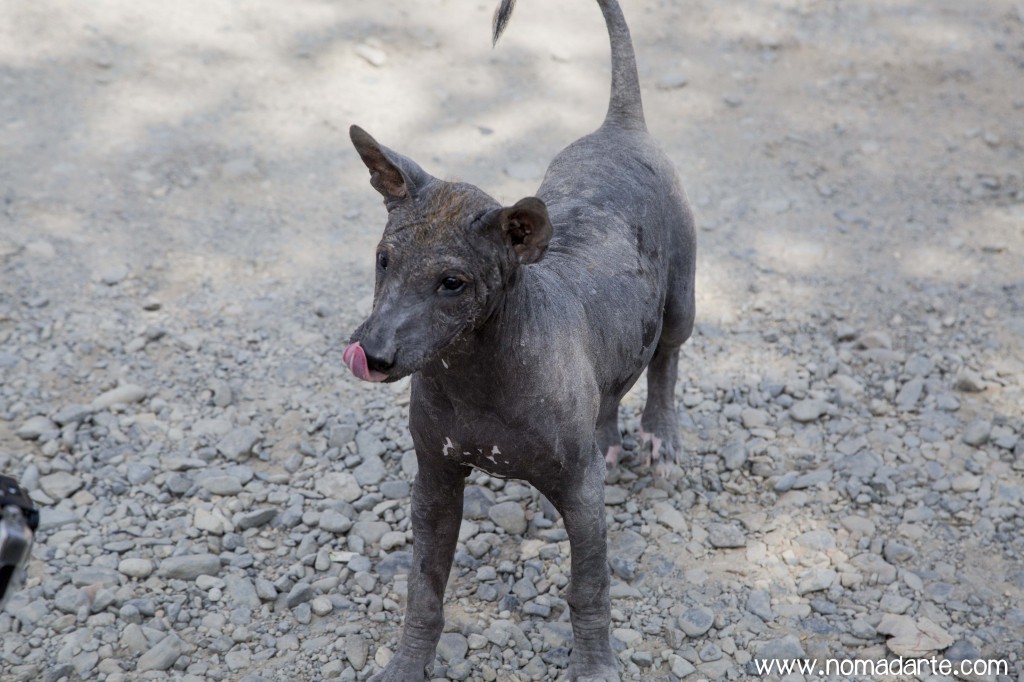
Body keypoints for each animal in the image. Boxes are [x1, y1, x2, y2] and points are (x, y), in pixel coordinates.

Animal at [344, 1, 696, 679]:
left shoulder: (582, 498)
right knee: (615, 383)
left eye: (453, 282)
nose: (370, 355)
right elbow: (424, 590)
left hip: (683, 297)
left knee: (666, 357)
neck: (475, 373)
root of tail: (619, 125)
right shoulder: (435, 482)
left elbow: (589, 589)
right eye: (382, 259)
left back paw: (659, 437)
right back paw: (609, 439)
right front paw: (407, 662)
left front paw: (595, 665)